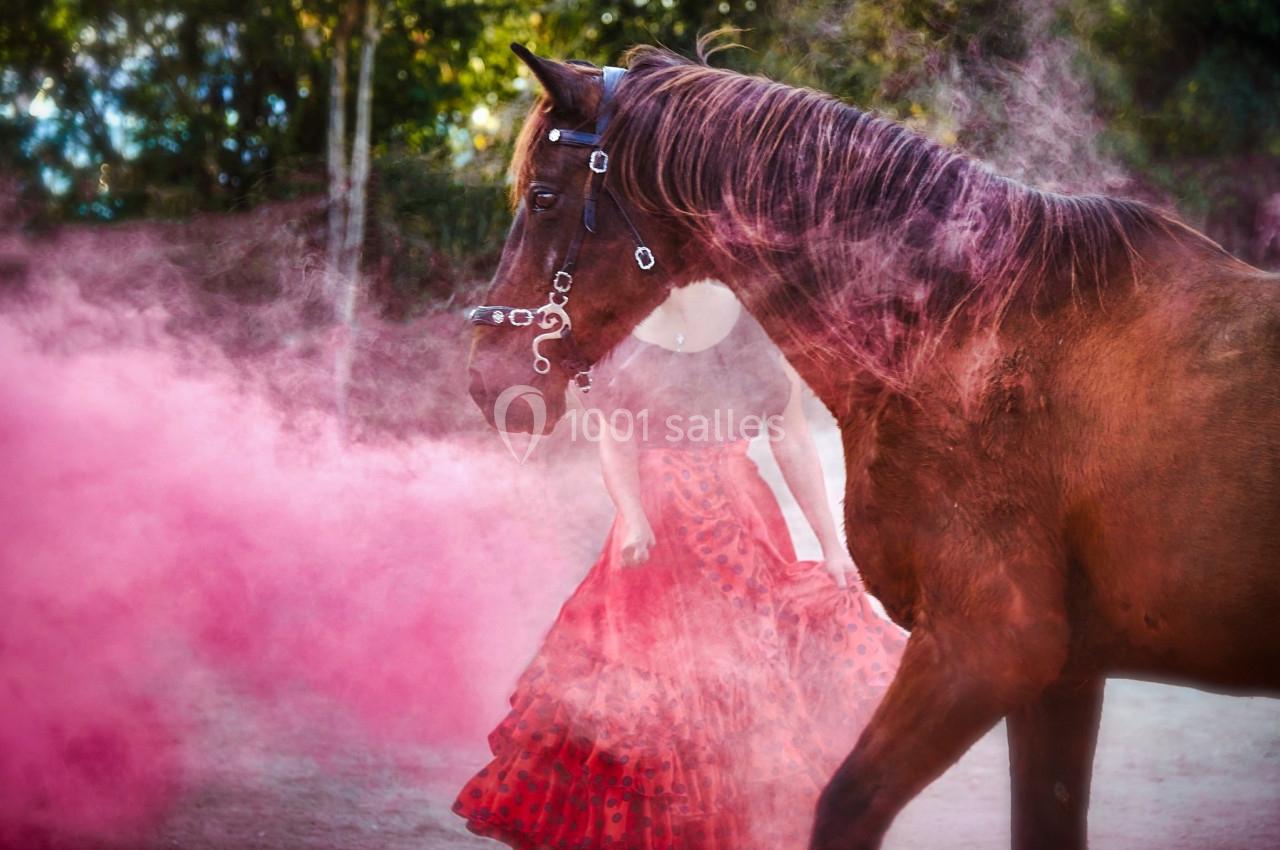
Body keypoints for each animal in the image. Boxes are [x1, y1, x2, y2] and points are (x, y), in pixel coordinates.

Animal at [465, 39, 1280, 850]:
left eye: (544, 197)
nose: (484, 376)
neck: (964, 333)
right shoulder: (1061, 675)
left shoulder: (987, 650)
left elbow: (847, 802)